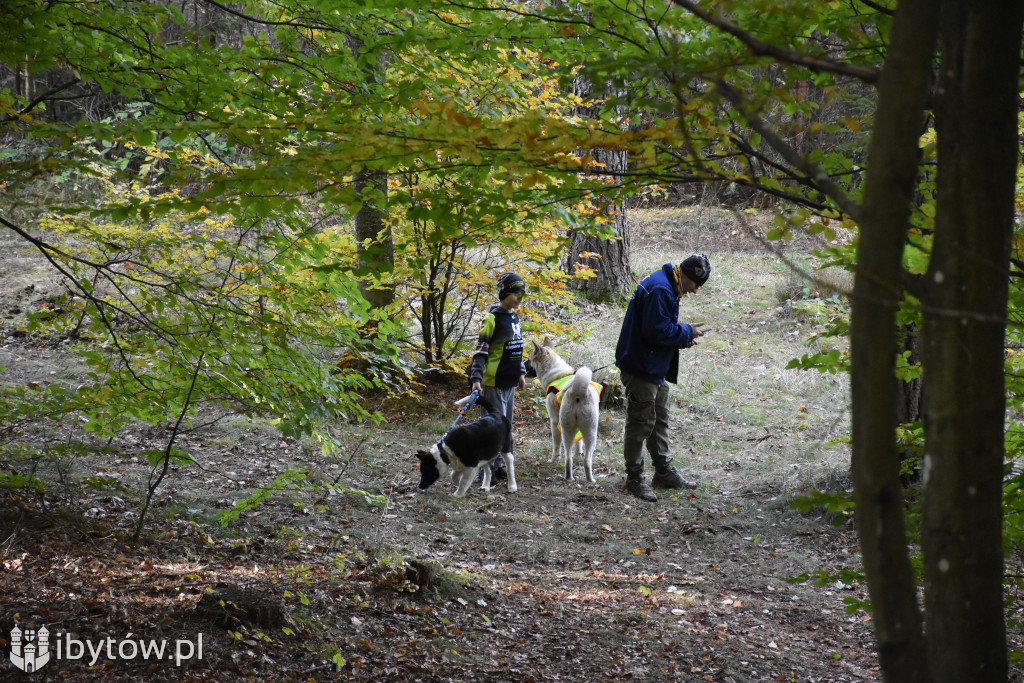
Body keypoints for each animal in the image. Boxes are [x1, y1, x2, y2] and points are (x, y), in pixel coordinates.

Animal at [528, 339, 598, 483]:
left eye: (529, 359)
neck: (556, 373)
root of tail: (578, 390)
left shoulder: (554, 421)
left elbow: (556, 446)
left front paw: (553, 460)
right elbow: (579, 444)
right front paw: (578, 453)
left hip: (566, 430)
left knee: (567, 458)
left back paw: (568, 476)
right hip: (590, 432)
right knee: (586, 461)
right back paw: (589, 480)